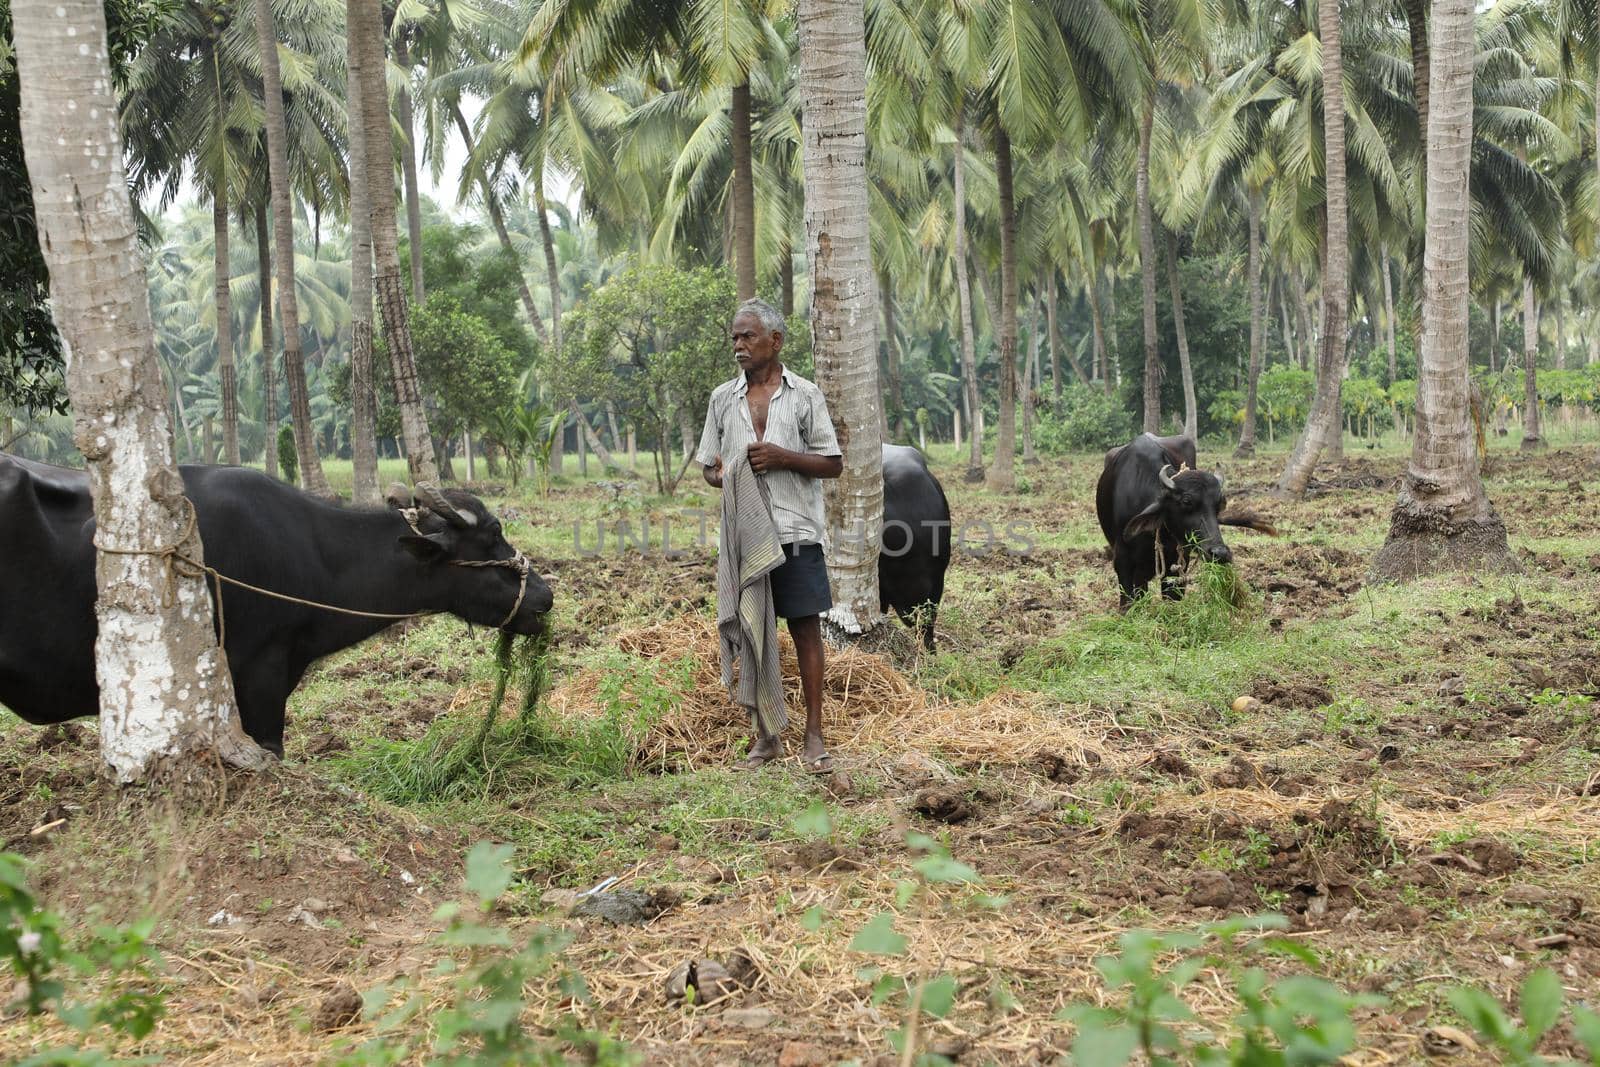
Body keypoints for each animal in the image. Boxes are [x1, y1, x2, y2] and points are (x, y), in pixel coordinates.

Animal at [1094, 428, 1267, 604]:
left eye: (1218, 504)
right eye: (1186, 501)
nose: (1220, 553)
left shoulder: (1178, 560)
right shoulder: (1123, 561)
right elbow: (1128, 601)